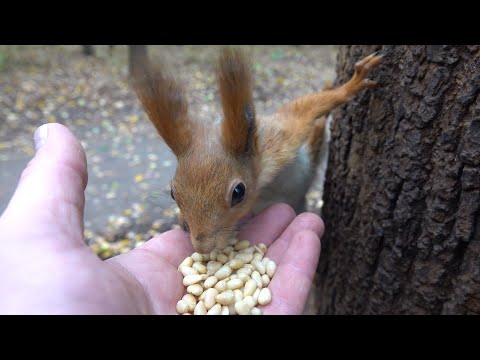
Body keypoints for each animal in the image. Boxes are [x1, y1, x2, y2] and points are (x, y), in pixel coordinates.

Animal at [131, 47, 382, 253]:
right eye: (173, 192)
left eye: (238, 193)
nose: (203, 247)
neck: (262, 182)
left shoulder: (280, 141)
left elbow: (304, 110)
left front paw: (350, 86)